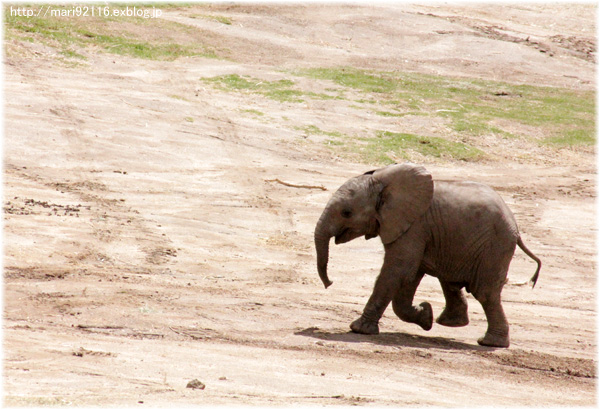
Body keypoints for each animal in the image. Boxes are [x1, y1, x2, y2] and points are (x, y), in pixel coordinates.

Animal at [316, 162, 540, 348]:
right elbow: (409, 277)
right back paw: (449, 323)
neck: (382, 183)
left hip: (495, 247)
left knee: (485, 293)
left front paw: (358, 329)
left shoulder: (414, 226)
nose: (330, 283)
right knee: (450, 282)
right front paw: (426, 316)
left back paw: (489, 343)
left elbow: (398, 270)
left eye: (346, 213)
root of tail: (516, 228)